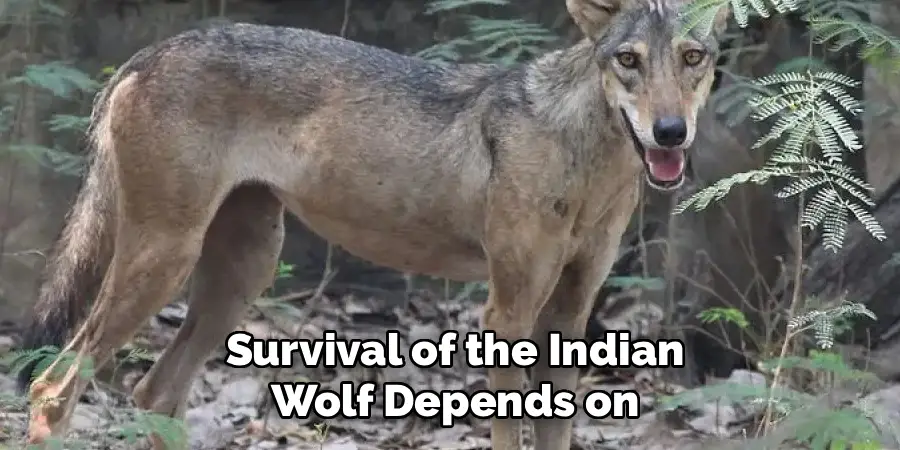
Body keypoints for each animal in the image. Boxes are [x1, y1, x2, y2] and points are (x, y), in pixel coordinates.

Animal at [16, 0, 727, 448]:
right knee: (54, 388)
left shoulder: (570, 316)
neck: (587, 159)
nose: (671, 131)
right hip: (163, 262)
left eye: (693, 58)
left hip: (241, 275)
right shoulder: (507, 311)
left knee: (152, 394)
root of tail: (146, 55)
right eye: (629, 60)